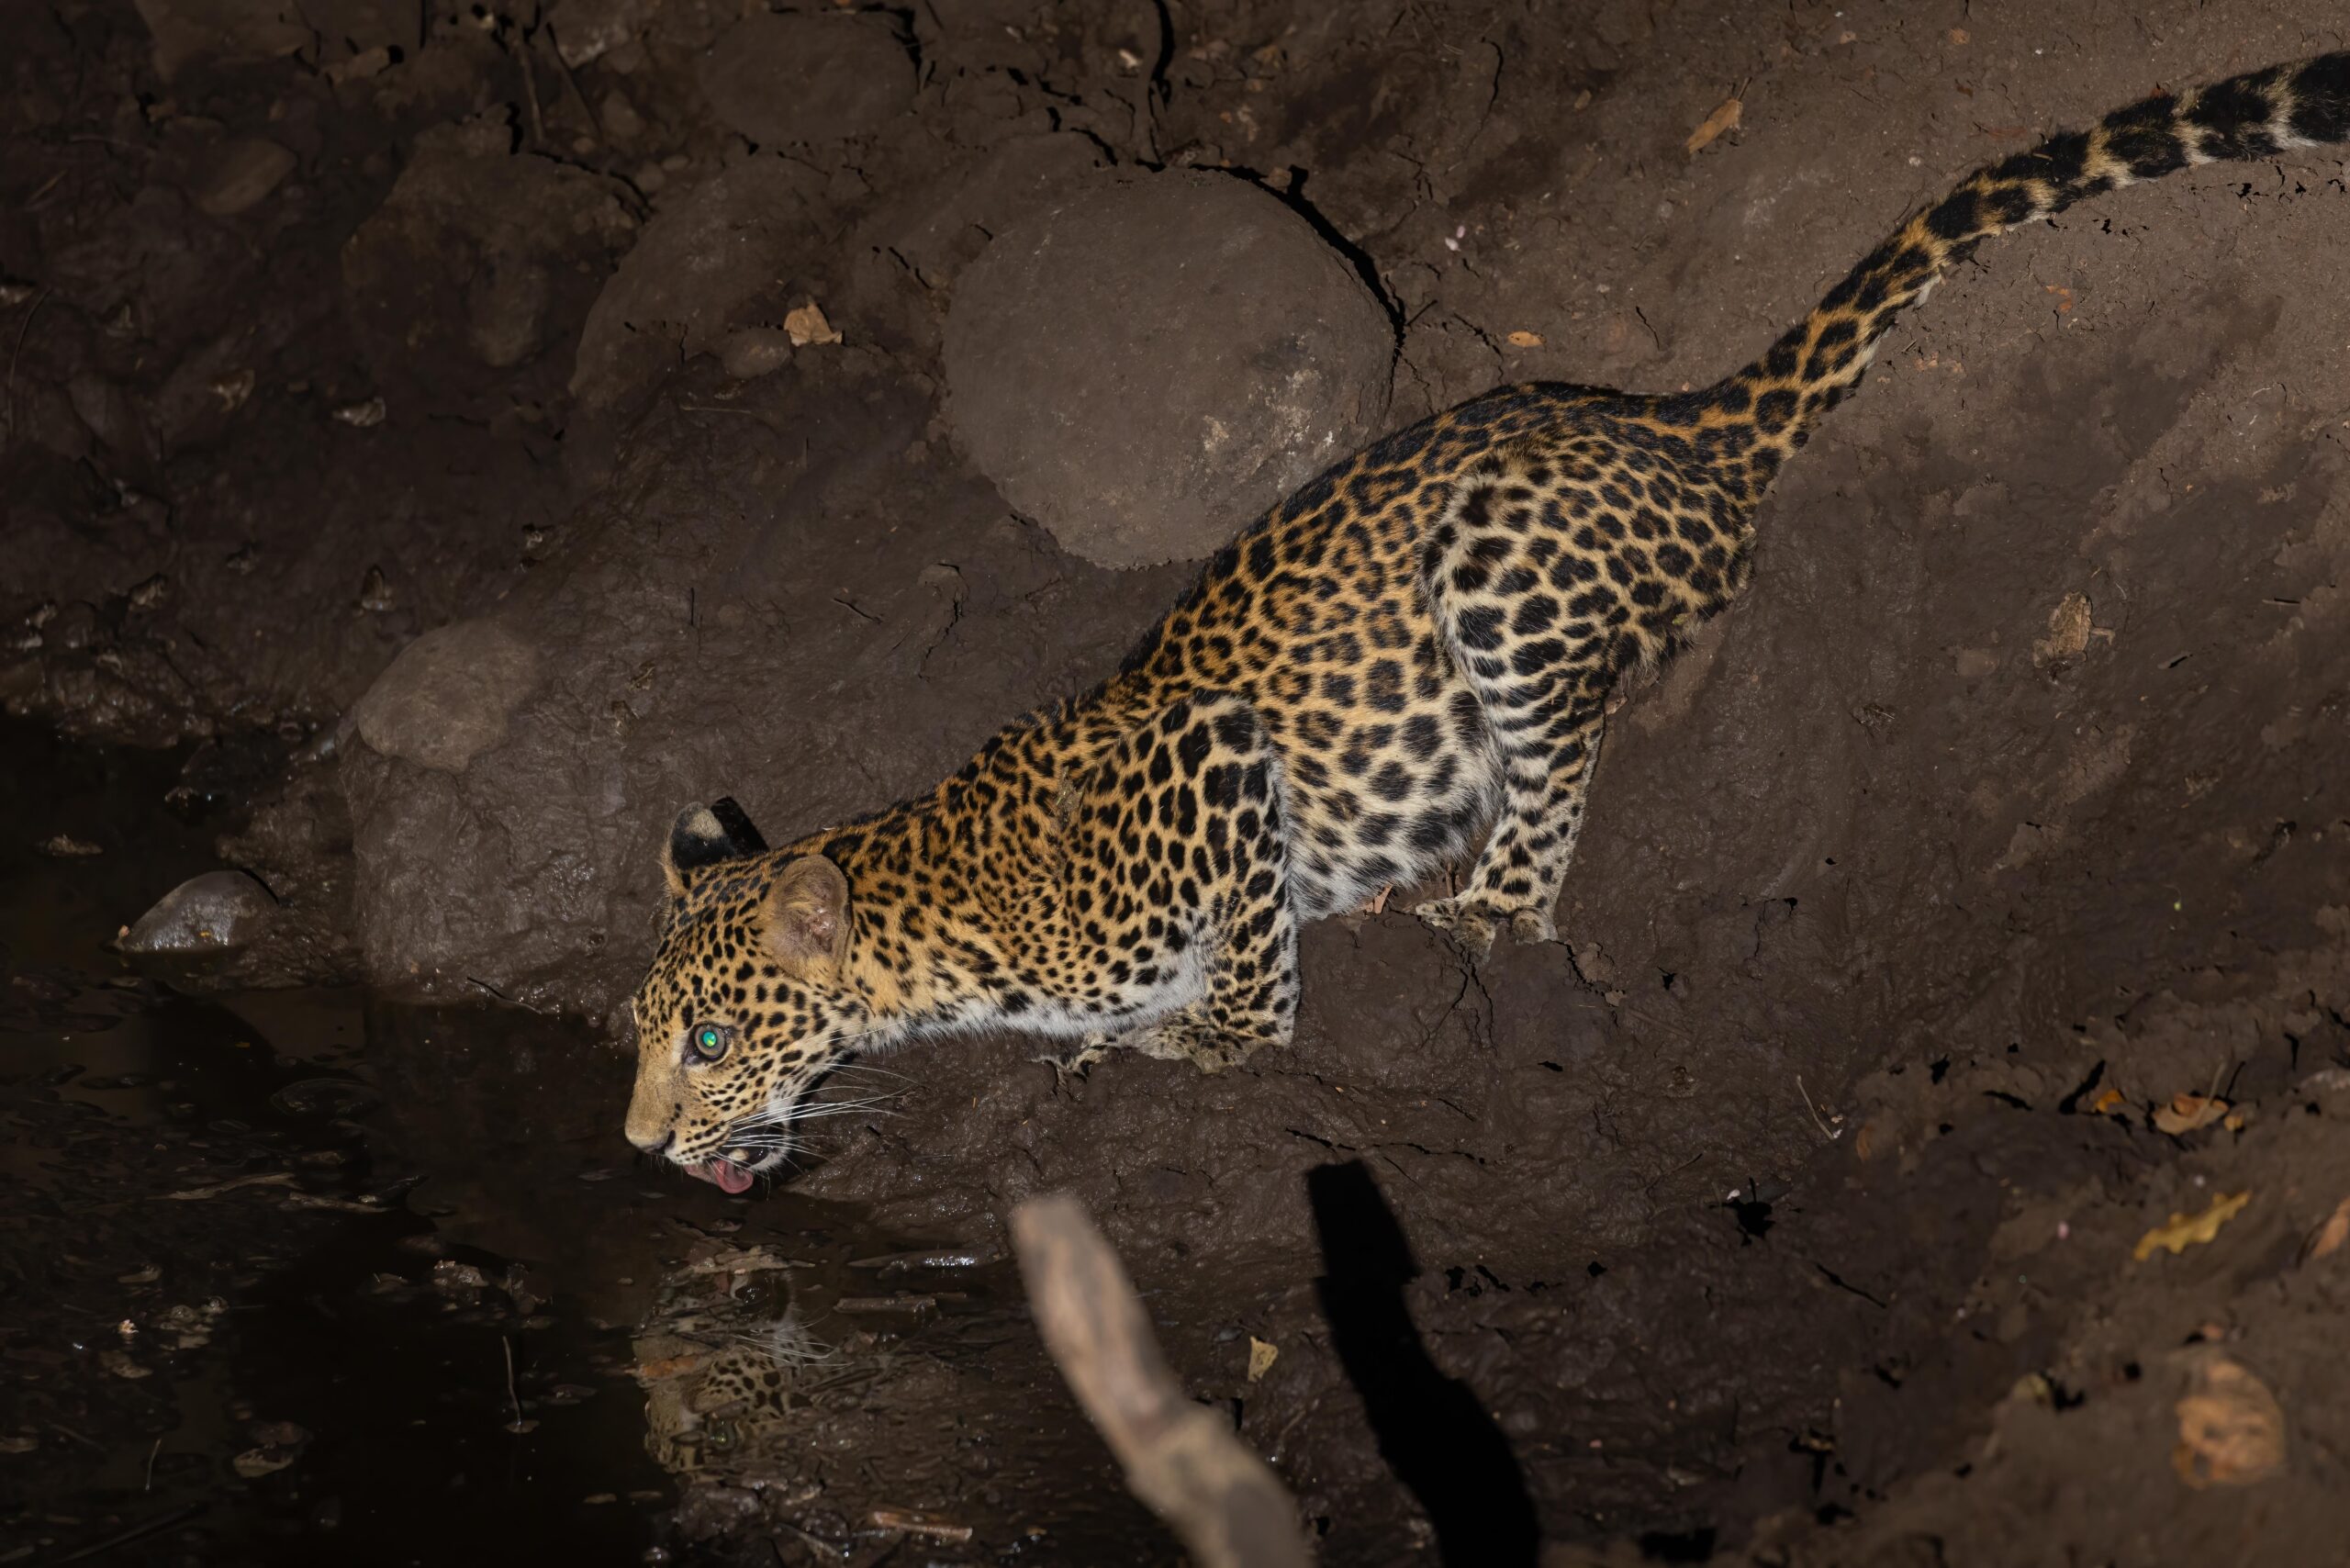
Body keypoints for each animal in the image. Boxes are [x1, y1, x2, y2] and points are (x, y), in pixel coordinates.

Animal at [626, 53, 2350, 1192]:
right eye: (644, 1031)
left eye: (709, 1042)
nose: (638, 1141)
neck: (936, 929)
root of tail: (1676, 419)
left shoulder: (1214, 759)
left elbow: (1244, 970)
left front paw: (1208, 1046)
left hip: (1495, 565)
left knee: (1561, 756)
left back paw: (1482, 906)